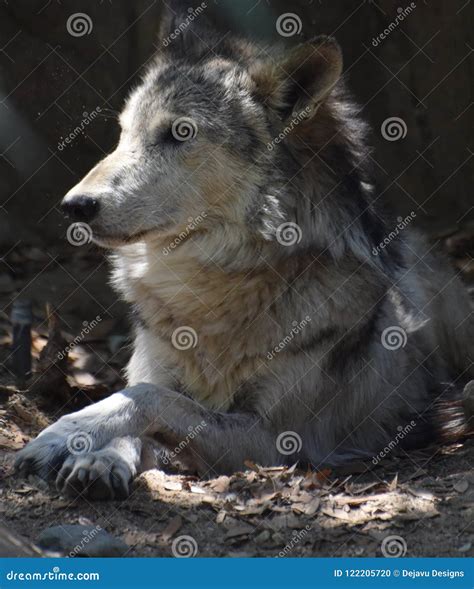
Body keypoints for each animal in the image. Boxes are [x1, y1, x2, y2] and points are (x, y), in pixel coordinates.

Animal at [14, 16, 474, 498]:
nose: (74, 205)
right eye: (123, 135)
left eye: (180, 133)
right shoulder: (160, 375)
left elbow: (143, 400)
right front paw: (98, 459)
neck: (212, 295)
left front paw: (64, 434)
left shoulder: (276, 440)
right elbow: (145, 408)